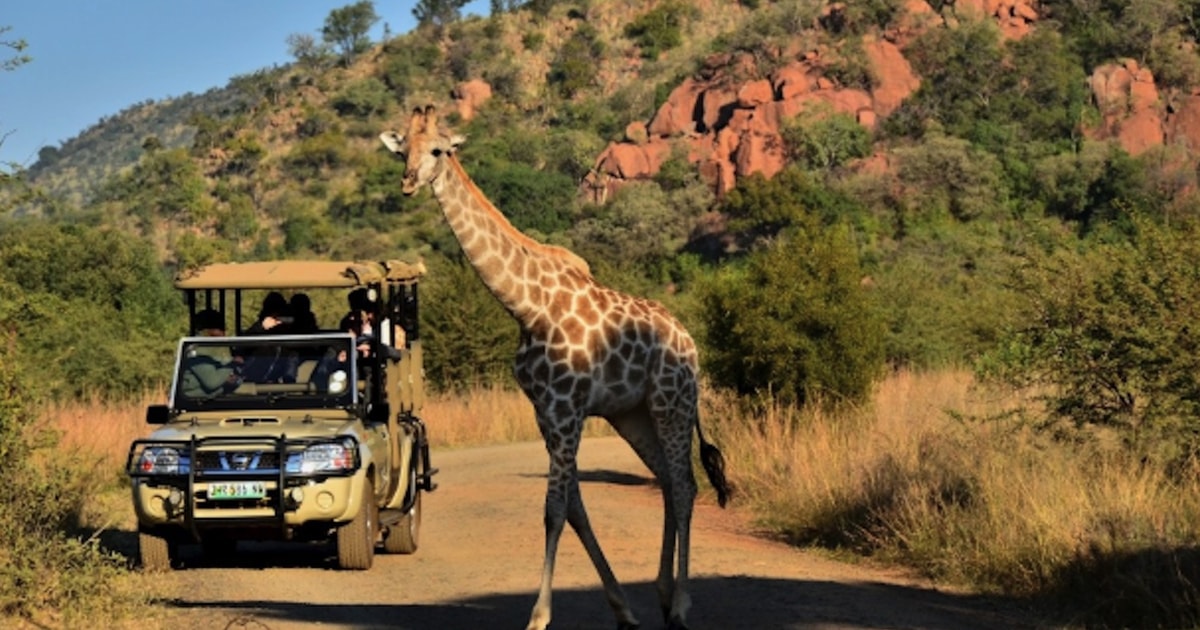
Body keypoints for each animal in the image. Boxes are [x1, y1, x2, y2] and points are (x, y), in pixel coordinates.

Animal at [381, 105, 729, 624]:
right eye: (403, 148)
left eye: (439, 149)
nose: (407, 182)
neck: (526, 306)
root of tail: (691, 344)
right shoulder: (545, 412)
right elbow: (575, 507)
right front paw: (622, 609)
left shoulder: (566, 409)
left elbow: (554, 509)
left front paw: (538, 617)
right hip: (633, 414)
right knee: (669, 481)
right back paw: (664, 595)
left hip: (673, 402)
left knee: (685, 485)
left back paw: (682, 606)